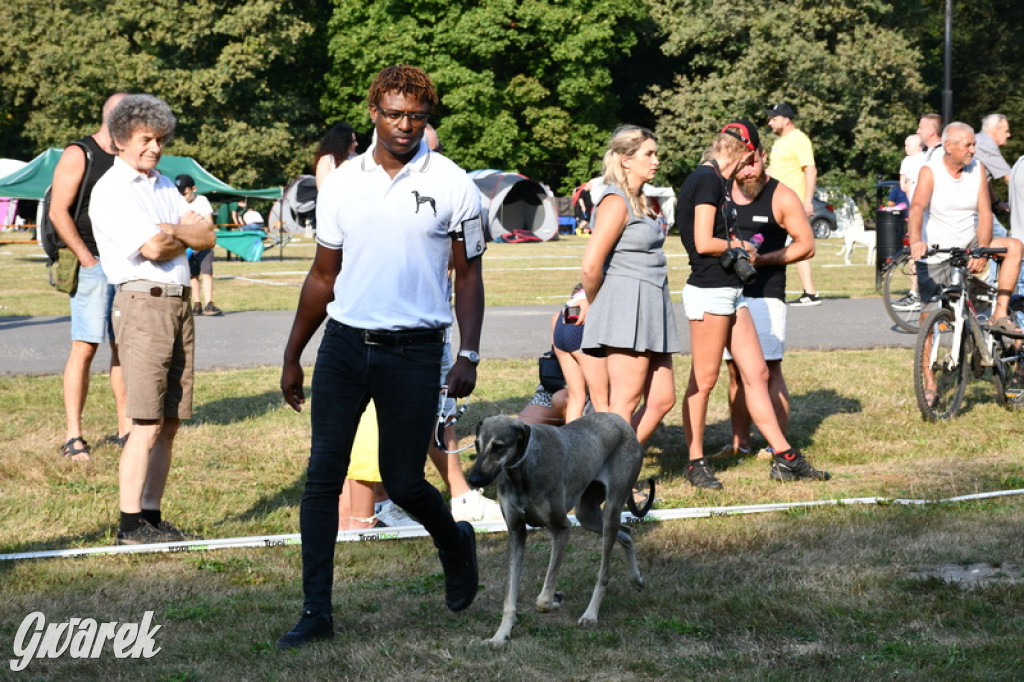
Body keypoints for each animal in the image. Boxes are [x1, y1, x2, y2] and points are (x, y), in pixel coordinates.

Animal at [468, 409, 643, 643]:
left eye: (498, 446)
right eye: (477, 444)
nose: (473, 479)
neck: (522, 471)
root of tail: (620, 420)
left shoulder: (561, 529)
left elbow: (543, 600)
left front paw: (554, 598)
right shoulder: (516, 533)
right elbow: (510, 597)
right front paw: (501, 635)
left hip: (611, 510)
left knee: (604, 573)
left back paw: (590, 614)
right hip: (588, 515)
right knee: (626, 532)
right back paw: (636, 578)